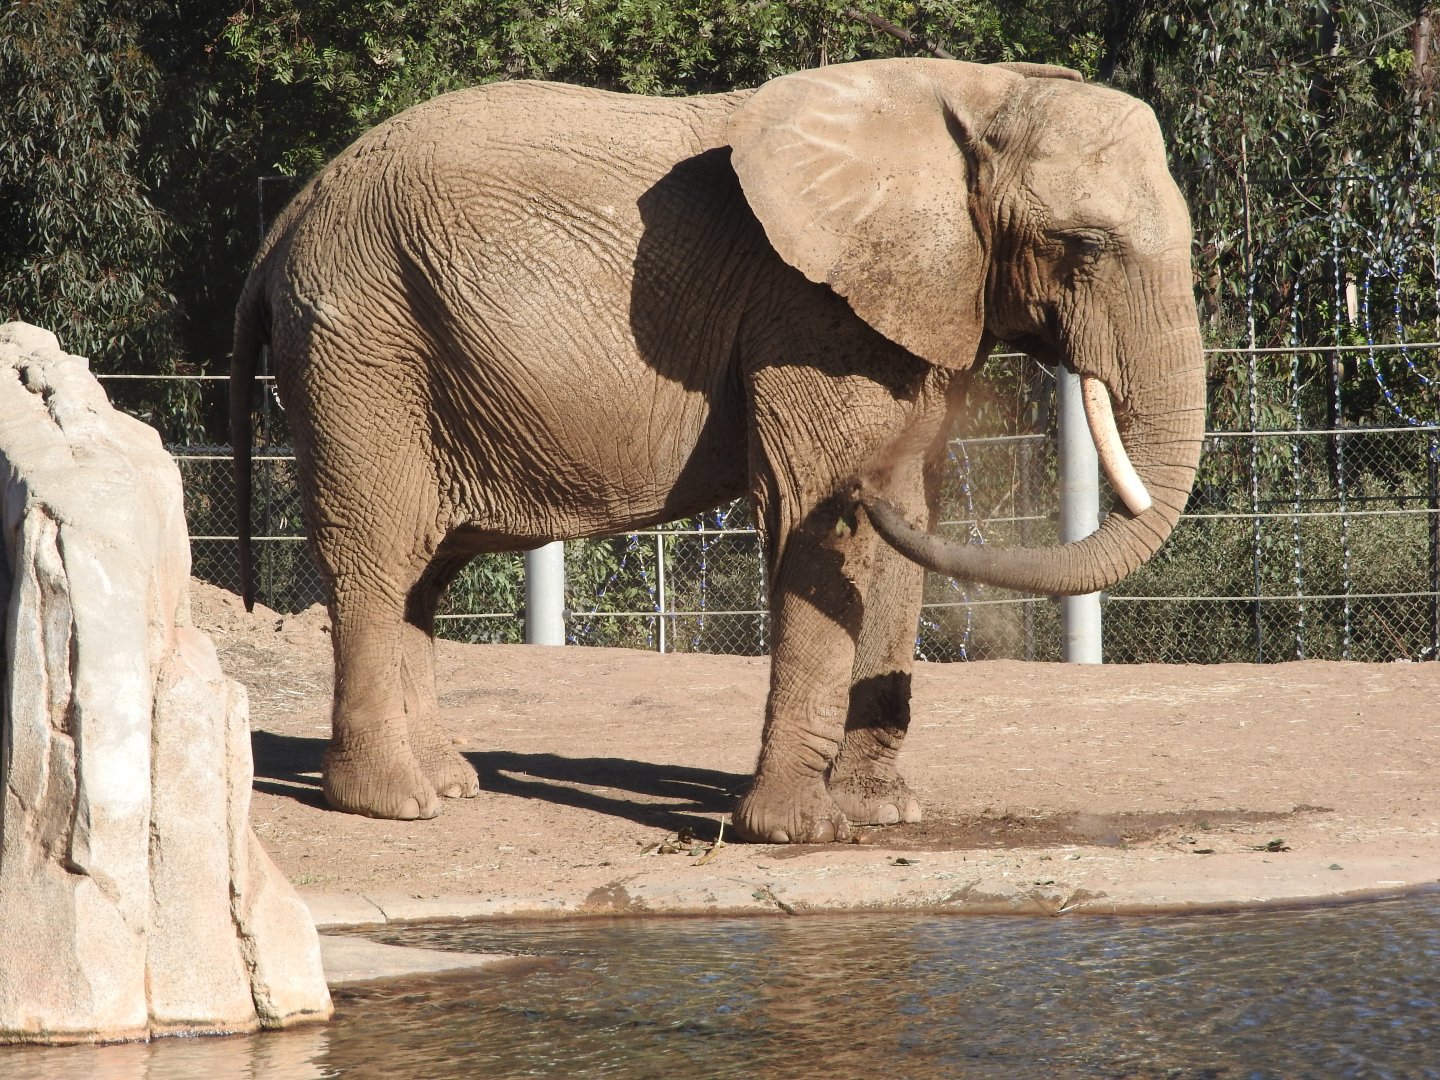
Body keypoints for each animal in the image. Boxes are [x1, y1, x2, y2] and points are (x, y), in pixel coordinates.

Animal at [231, 58, 1206, 842]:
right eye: (1082, 245)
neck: (975, 93)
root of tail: (280, 228)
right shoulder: (805, 310)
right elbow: (815, 521)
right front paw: (800, 832)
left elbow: (904, 523)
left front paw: (885, 813)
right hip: (363, 345)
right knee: (378, 553)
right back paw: (398, 804)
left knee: (424, 572)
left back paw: (451, 783)